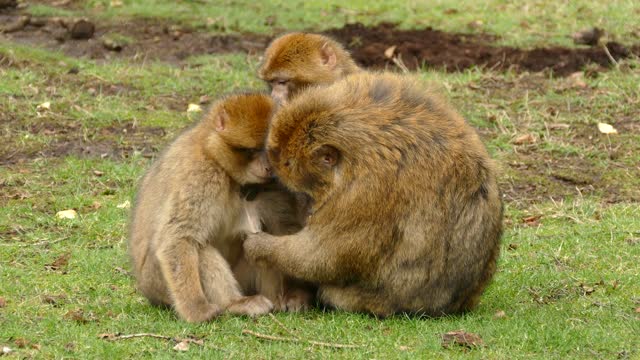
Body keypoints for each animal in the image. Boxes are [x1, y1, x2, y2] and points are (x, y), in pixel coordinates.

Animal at [129, 93, 306, 324]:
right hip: (157, 282)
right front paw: (196, 309)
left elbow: (283, 230)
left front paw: (297, 292)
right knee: (200, 248)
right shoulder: (200, 176)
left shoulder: (274, 186)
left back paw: (277, 299)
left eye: (270, 151)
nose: (268, 167)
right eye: (251, 150)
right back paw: (235, 304)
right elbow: (178, 238)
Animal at [242, 72, 502, 318]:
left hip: (379, 300)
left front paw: (261, 246)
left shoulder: (365, 192)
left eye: (288, 165)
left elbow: (325, 256)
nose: (309, 209)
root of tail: (456, 304)